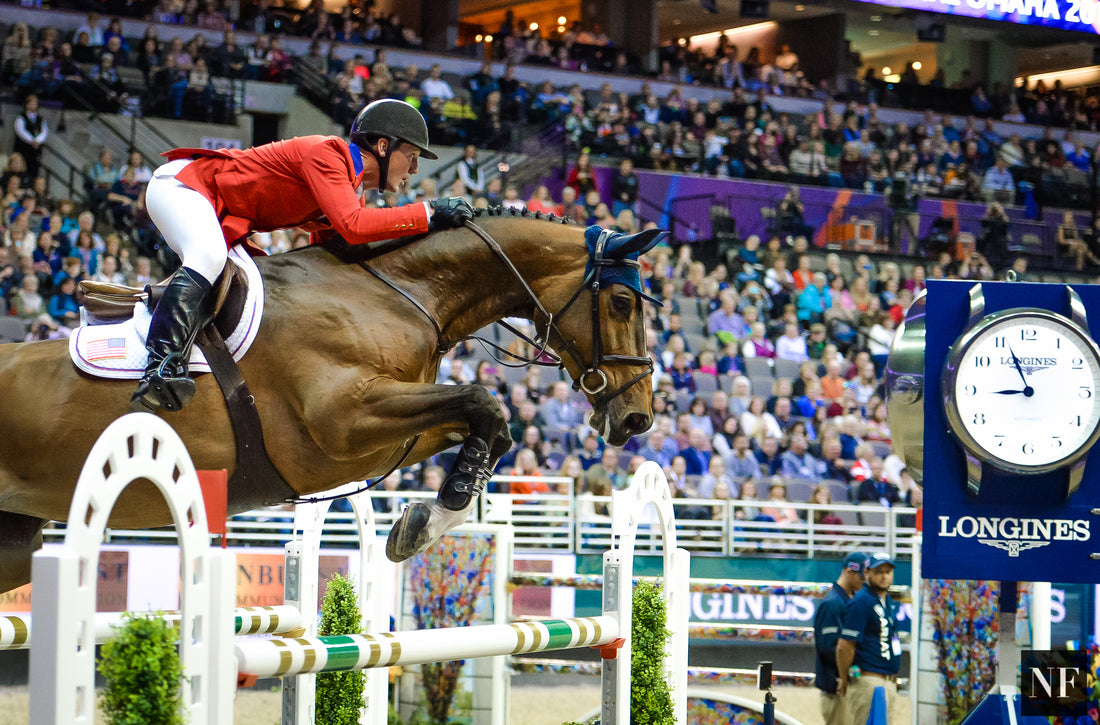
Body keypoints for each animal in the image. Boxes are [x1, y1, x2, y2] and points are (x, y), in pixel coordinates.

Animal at [0, 210, 655, 594]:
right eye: (623, 302)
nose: (638, 417)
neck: (401, 293)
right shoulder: (342, 420)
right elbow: (484, 400)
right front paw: (429, 519)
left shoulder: (387, 435)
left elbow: (486, 423)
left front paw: (428, 518)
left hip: (16, 541)